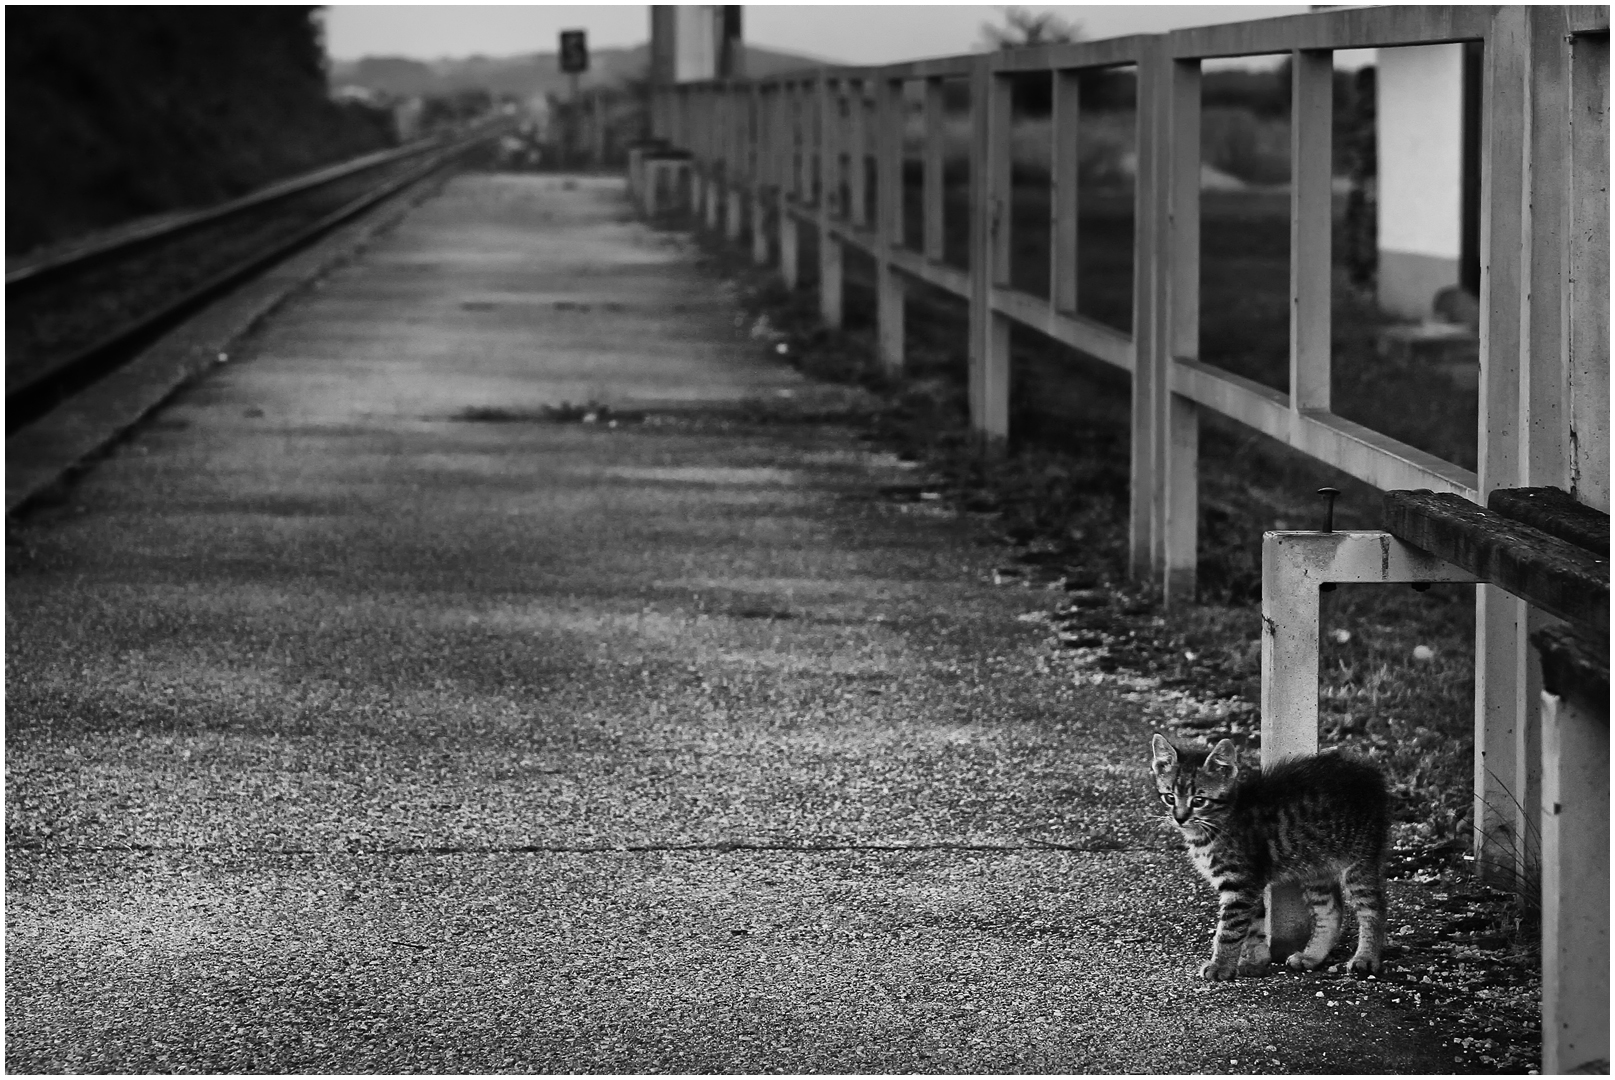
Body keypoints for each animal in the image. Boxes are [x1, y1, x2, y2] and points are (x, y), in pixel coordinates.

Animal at [1149, 732, 1388, 975]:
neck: (1216, 824)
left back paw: (1366, 957)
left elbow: (1230, 929)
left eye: (1198, 800)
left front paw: (1220, 966)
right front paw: (1256, 961)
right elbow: (1253, 926)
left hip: (1359, 861)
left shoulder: (1240, 883)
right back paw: (1311, 956)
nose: (1179, 818)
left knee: (1373, 909)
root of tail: (1368, 772)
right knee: (1331, 912)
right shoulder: (1250, 883)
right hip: (1316, 868)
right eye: (1169, 797)